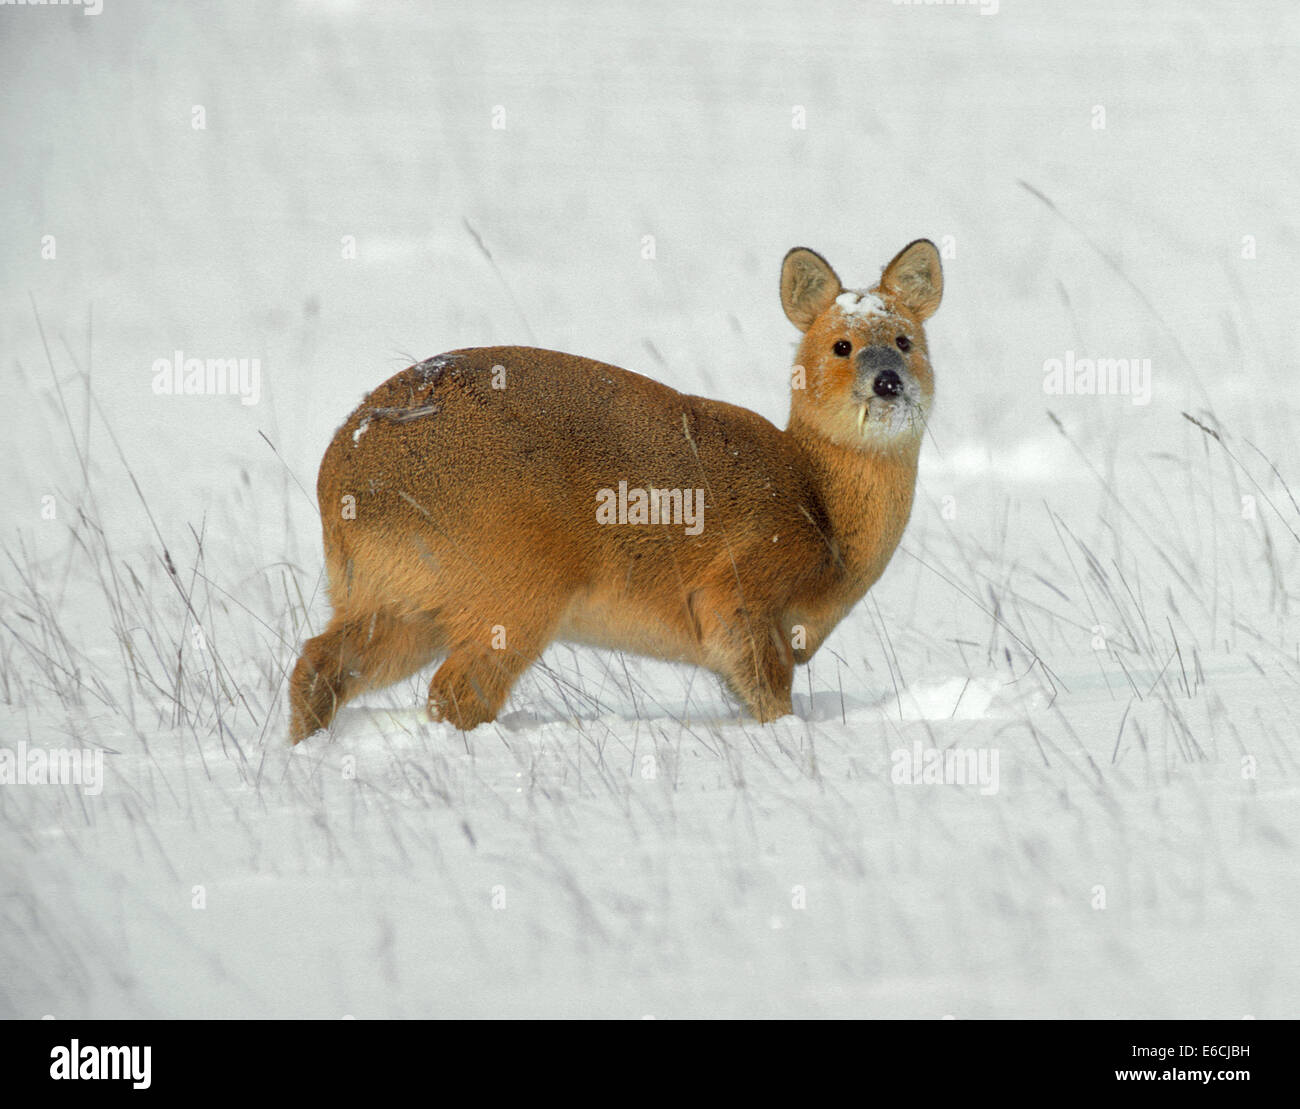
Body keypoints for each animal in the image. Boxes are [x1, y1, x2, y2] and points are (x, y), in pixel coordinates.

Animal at [289, 241, 946, 743]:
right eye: (842, 345)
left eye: (906, 340)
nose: (888, 382)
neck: (822, 512)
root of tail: (342, 478)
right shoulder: (737, 591)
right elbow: (769, 696)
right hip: (514, 582)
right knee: (454, 693)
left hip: (396, 597)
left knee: (318, 664)